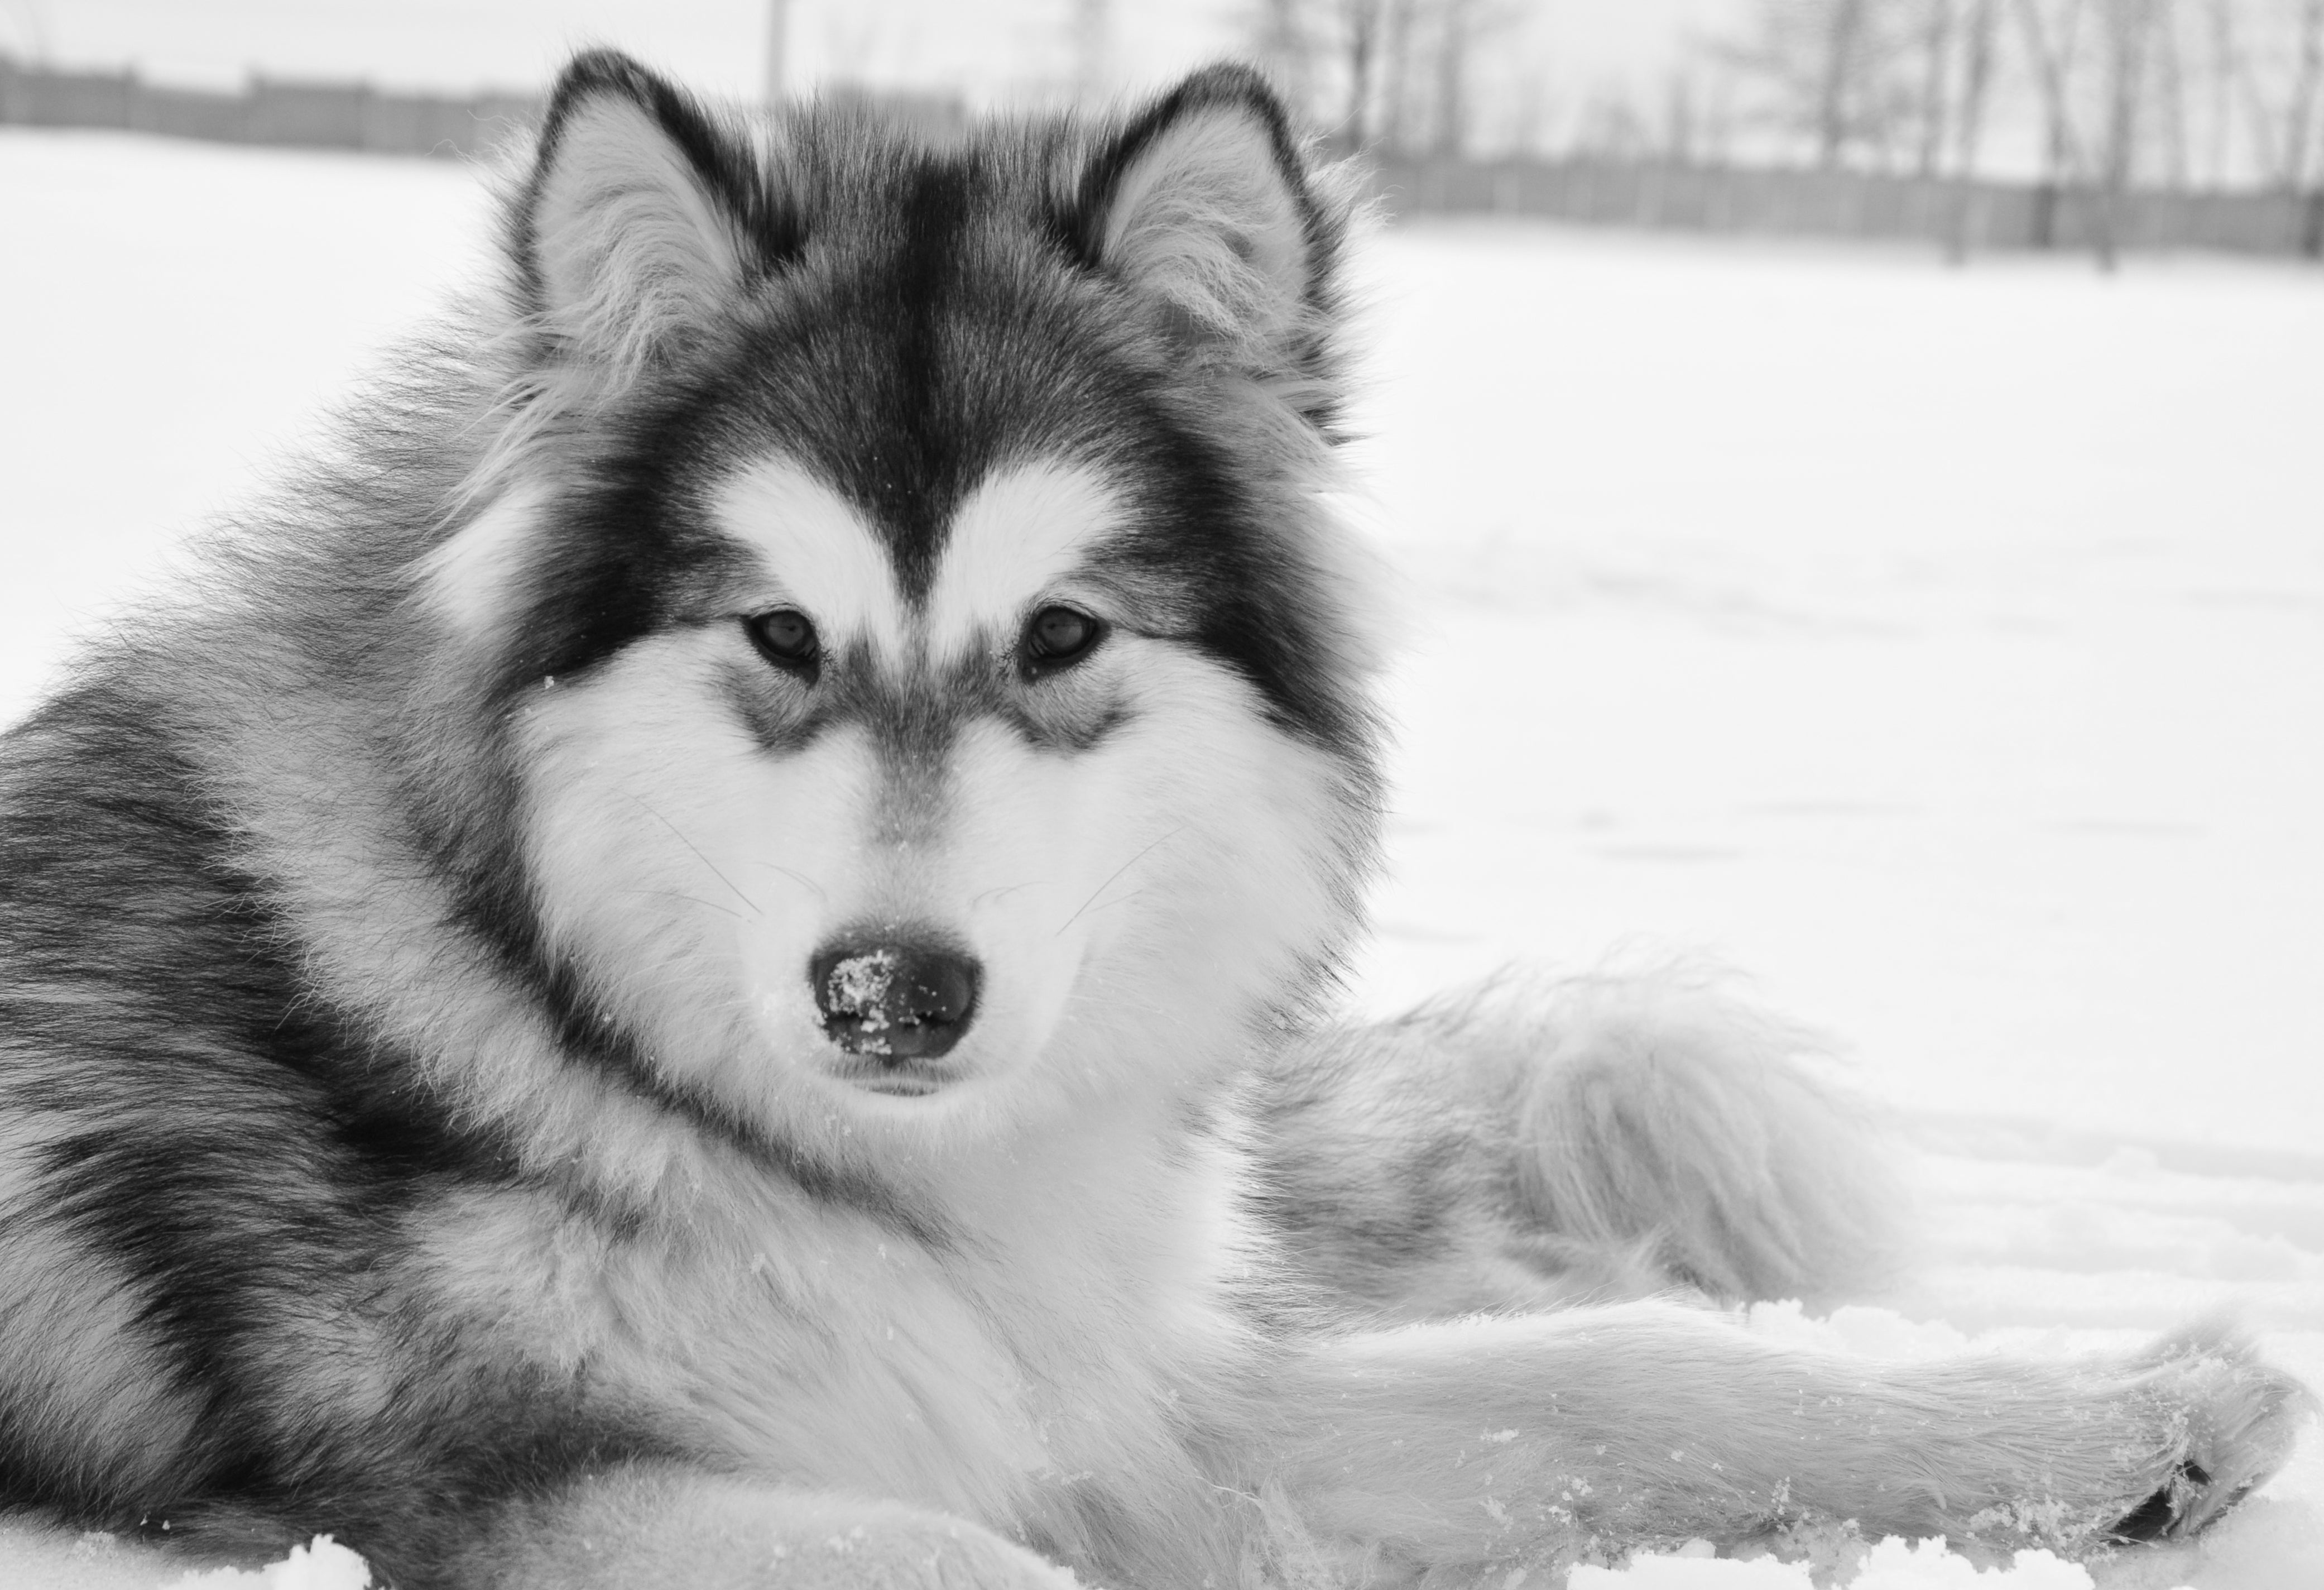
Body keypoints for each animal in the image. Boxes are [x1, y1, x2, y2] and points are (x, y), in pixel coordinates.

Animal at [0, 46, 2296, 1590]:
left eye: (1058, 634)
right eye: (778, 631)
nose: (888, 990)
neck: (579, 1010)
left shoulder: (1102, 1389)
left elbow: (1630, 1373)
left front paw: (2121, 1412)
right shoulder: (515, 1487)